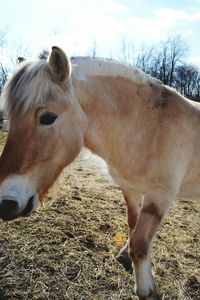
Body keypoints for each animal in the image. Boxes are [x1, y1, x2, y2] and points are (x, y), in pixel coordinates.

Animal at [0, 45, 199, 298]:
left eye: (47, 118)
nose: (5, 204)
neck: (150, 127)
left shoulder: (159, 196)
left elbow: (140, 245)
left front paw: (146, 290)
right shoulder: (130, 188)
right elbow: (132, 225)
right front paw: (125, 255)